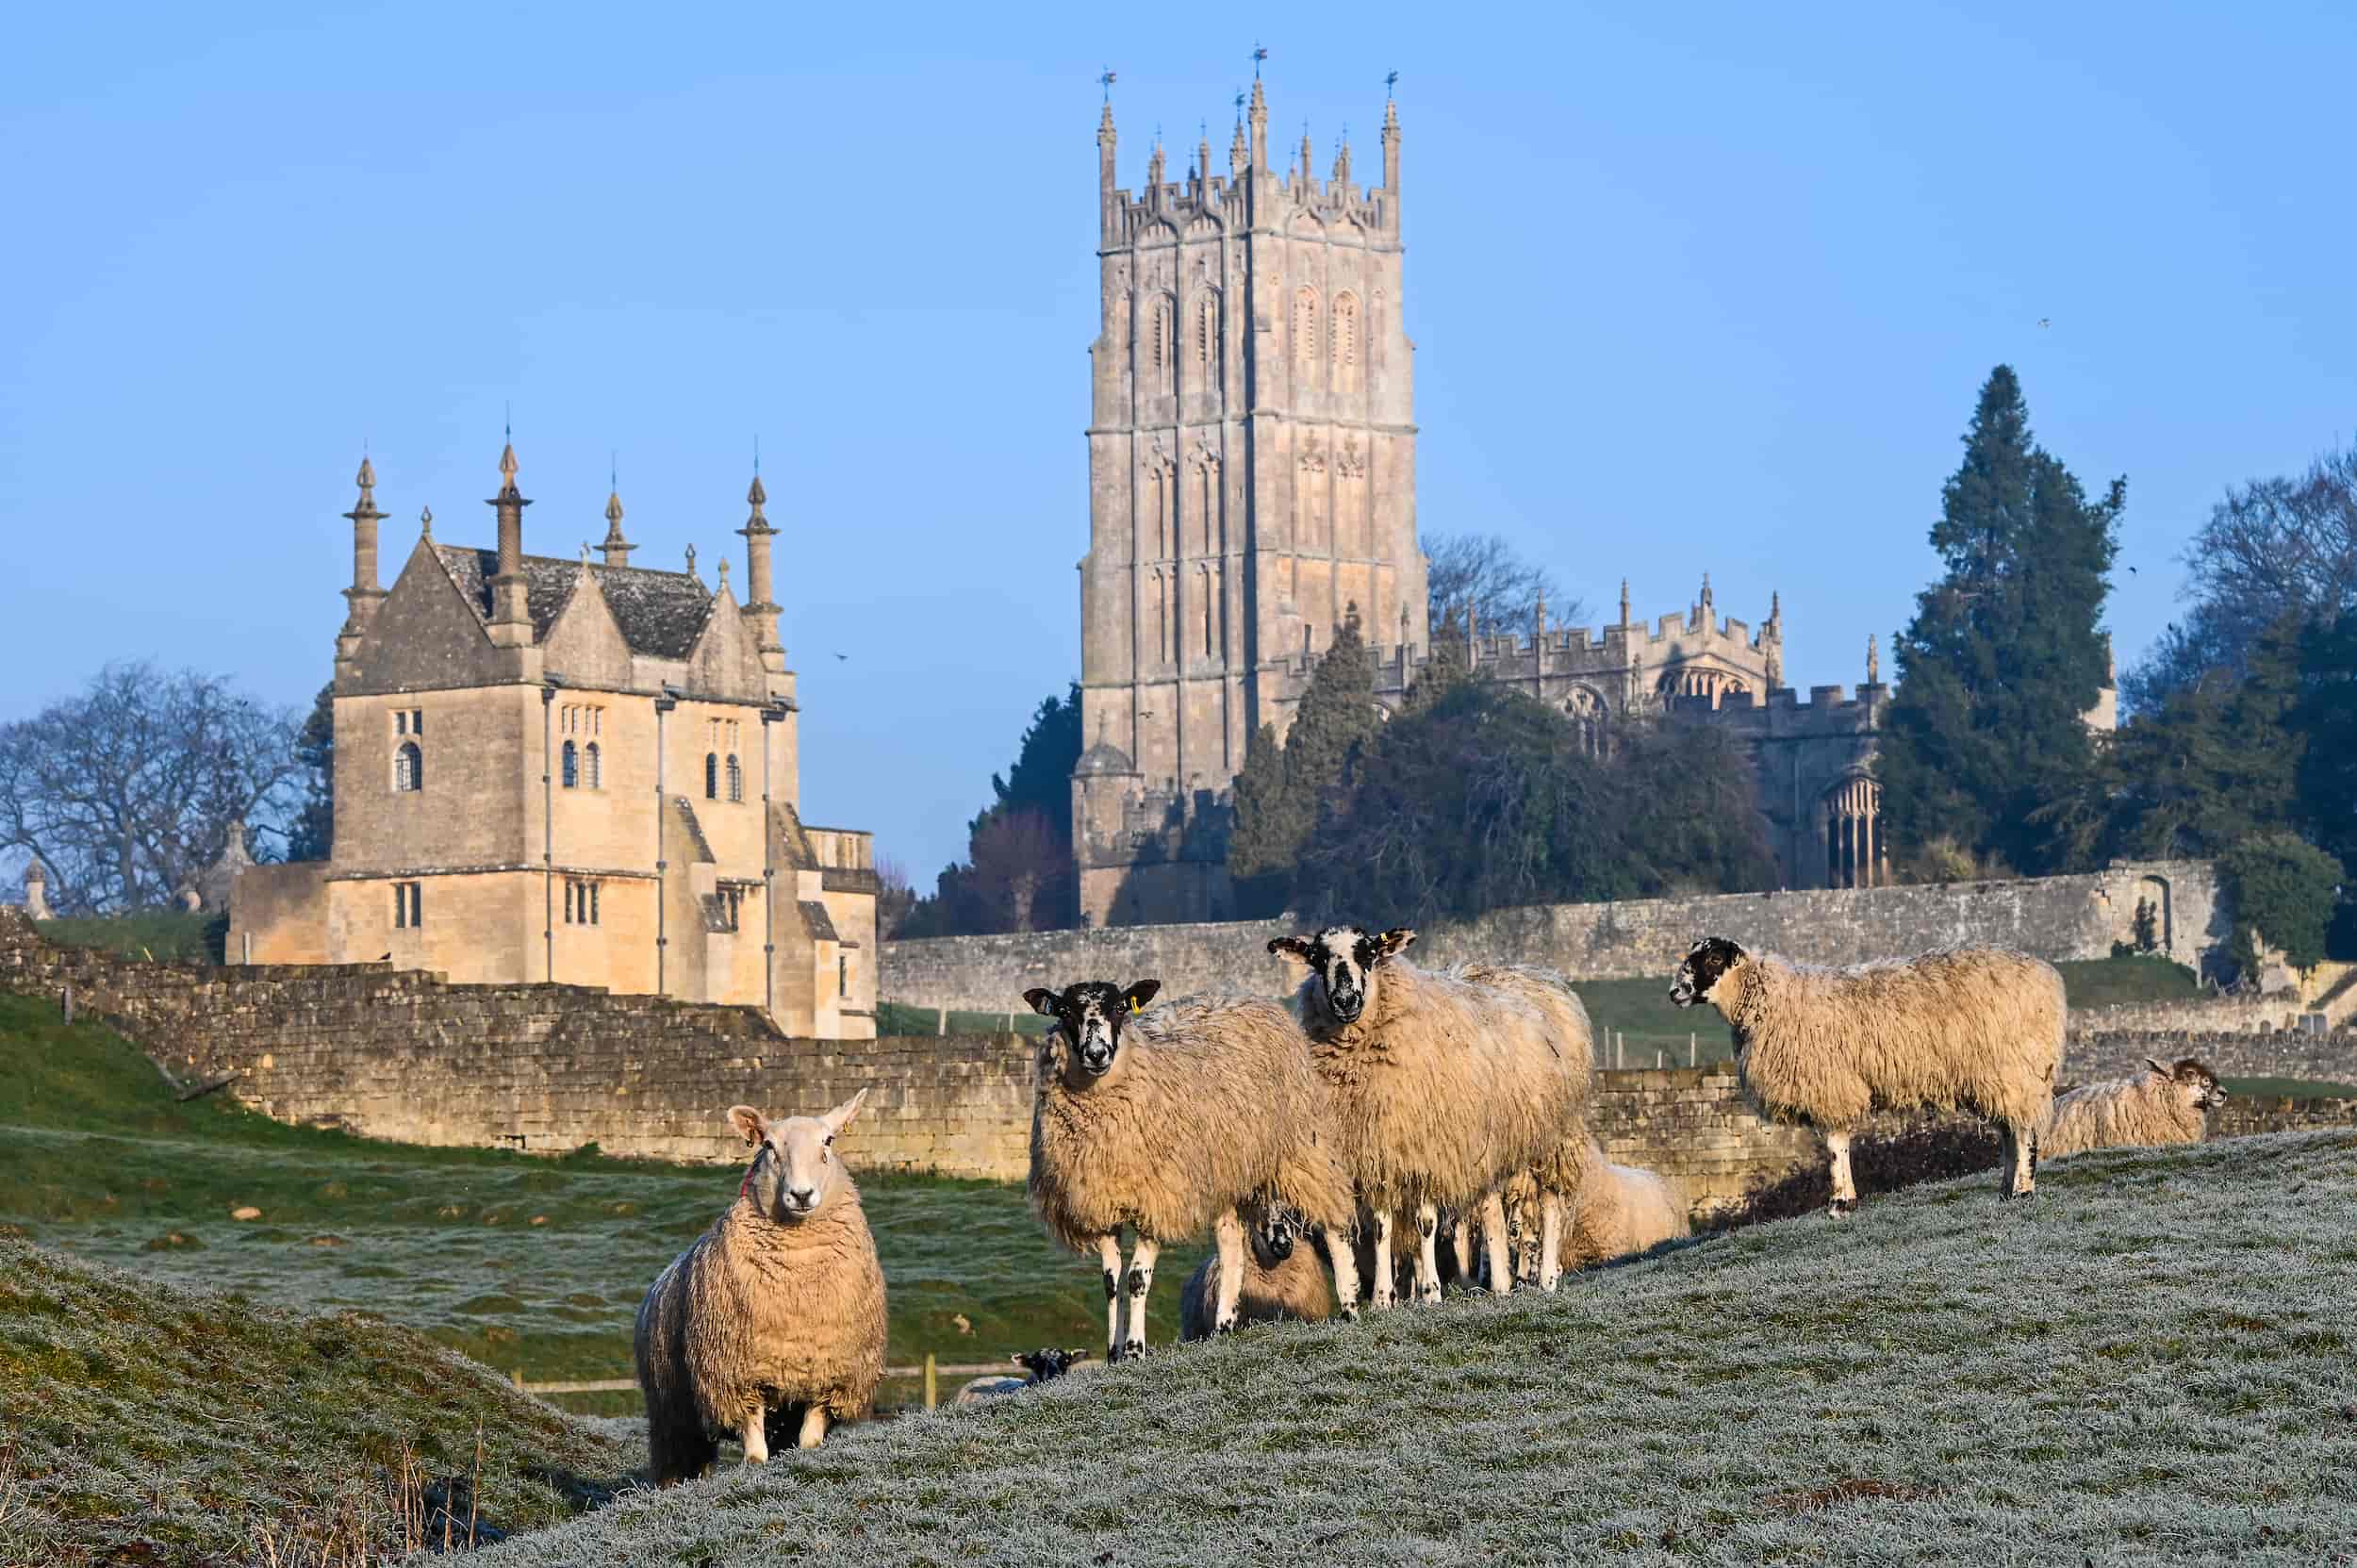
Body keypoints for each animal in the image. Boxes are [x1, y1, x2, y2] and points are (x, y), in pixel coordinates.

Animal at [633, 1089, 886, 1483]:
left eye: (829, 1140)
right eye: (768, 1144)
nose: (801, 1195)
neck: (798, 1278)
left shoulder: (828, 1376)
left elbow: (810, 1440)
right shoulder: (737, 1377)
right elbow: (754, 1451)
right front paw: (756, 1467)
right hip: (671, 1411)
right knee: (677, 1459)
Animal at [1271, 927, 1591, 1306]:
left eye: (1369, 954)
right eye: (1318, 959)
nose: (1346, 1000)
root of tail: (1538, 974)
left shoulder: (1428, 1148)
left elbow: (1425, 1223)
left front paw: (1431, 1291)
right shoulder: (1380, 1150)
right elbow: (1382, 1227)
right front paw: (1383, 1297)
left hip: (1556, 1135)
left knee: (1550, 1201)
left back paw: (1547, 1277)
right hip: (1497, 1140)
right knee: (1494, 1211)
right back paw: (1499, 1281)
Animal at [1669, 936, 2065, 1212]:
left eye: (1714, 958)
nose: (1675, 992)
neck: (1767, 999)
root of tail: (2047, 977)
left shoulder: (1830, 1086)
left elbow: (1834, 1147)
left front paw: (1840, 1202)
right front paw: (1845, 1199)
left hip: (2013, 1068)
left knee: (2024, 1132)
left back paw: (2023, 1188)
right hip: (1997, 1078)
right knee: (2010, 1130)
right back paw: (2007, 1189)